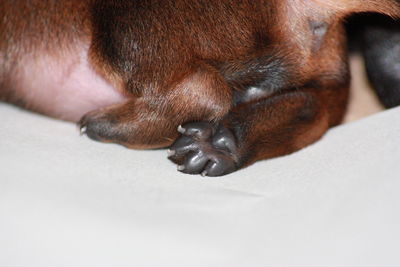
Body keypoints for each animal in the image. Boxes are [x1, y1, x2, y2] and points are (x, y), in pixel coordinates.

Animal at [0, 1, 400, 177]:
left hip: (130, 23)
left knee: (205, 92)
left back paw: (108, 126)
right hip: (325, 78)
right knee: (313, 109)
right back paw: (220, 144)